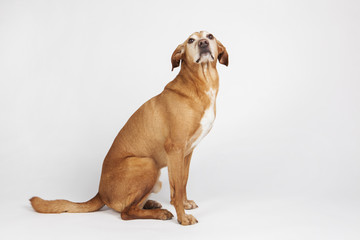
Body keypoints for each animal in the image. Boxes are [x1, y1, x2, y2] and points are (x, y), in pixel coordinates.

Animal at [30, 30, 228, 225]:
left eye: (210, 36)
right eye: (191, 40)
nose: (203, 43)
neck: (200, 83)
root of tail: (100, 193)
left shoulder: (187, 153)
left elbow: (183, 182)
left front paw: (185, 204)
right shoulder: (175, 149)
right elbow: (177, 189)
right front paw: (183, 217)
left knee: (133, 206)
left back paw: (151, 204)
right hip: (148, 164)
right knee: (126, 212)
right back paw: (160, 213)